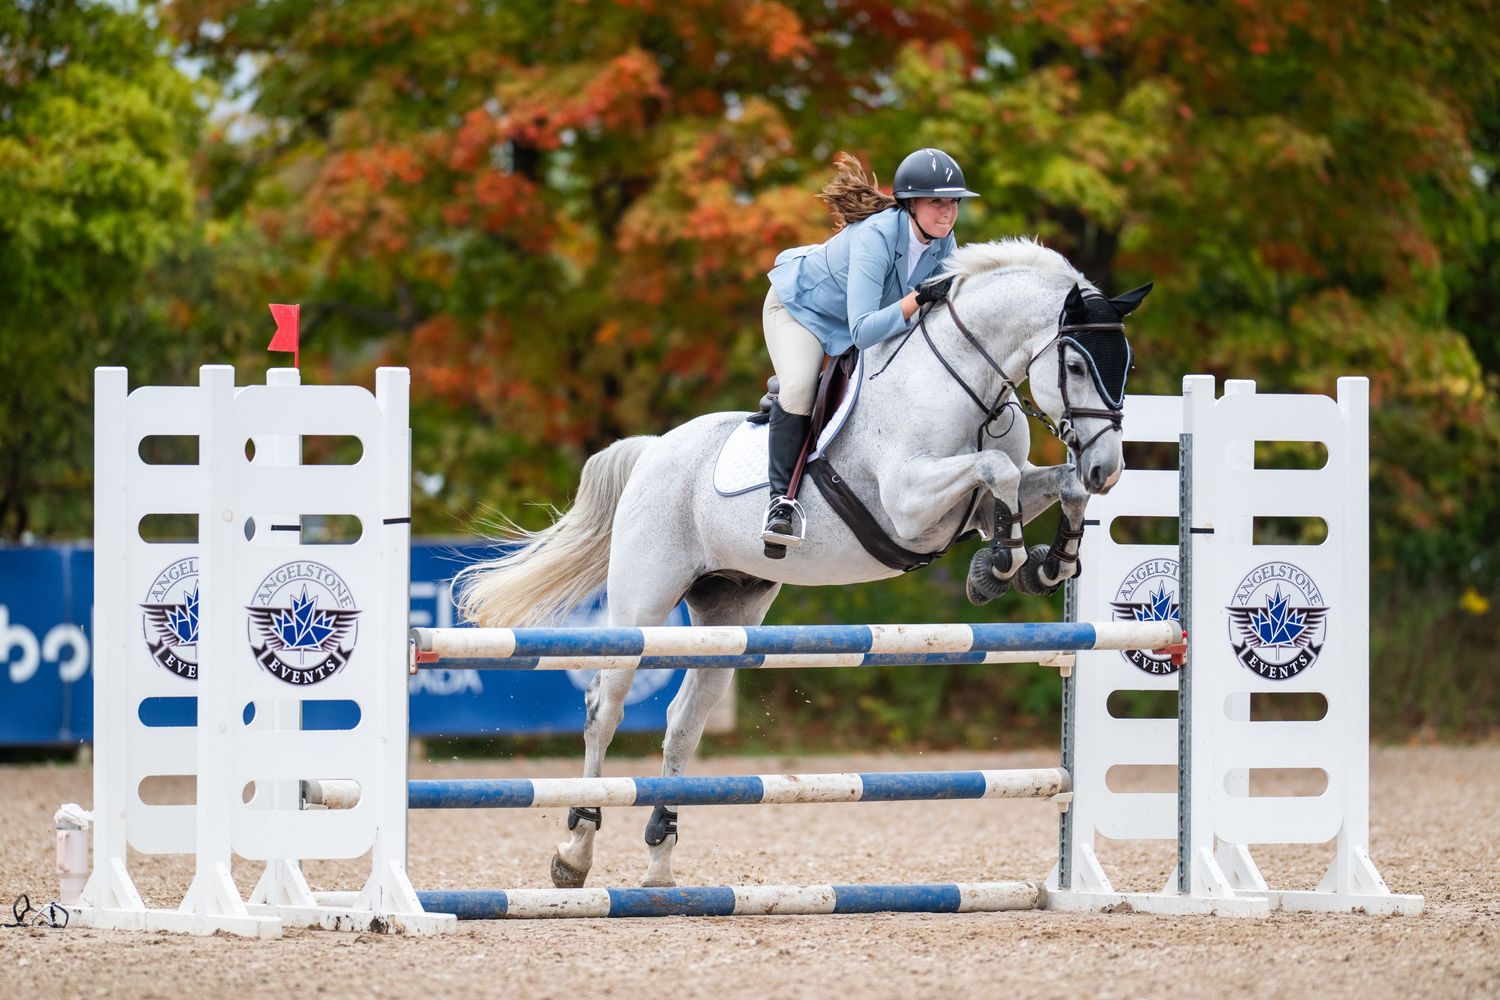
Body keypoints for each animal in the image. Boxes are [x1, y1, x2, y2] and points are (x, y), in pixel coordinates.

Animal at [452, 237, 1151, 889]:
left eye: (1126, 363)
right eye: (1074, 363)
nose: (1109, 468)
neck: (965, 383)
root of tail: (653, 450)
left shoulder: (974, 504)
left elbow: (1046, 483)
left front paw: (1047, 562)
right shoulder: (909, 503)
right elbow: (996, 470)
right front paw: (1001, 564)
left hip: (729, 612)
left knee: (683, 722)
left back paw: (660, 860)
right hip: (640, 605)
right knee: (606, 704)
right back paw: (575, 850)